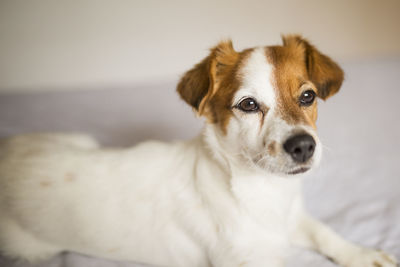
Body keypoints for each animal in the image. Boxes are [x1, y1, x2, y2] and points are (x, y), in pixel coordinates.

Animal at [0, 35, 396, 267]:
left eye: (308, 96)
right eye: (249, 104)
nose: (303, 145)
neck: (264, 192)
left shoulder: (295, 219)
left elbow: (324, 232)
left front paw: (362, 254)